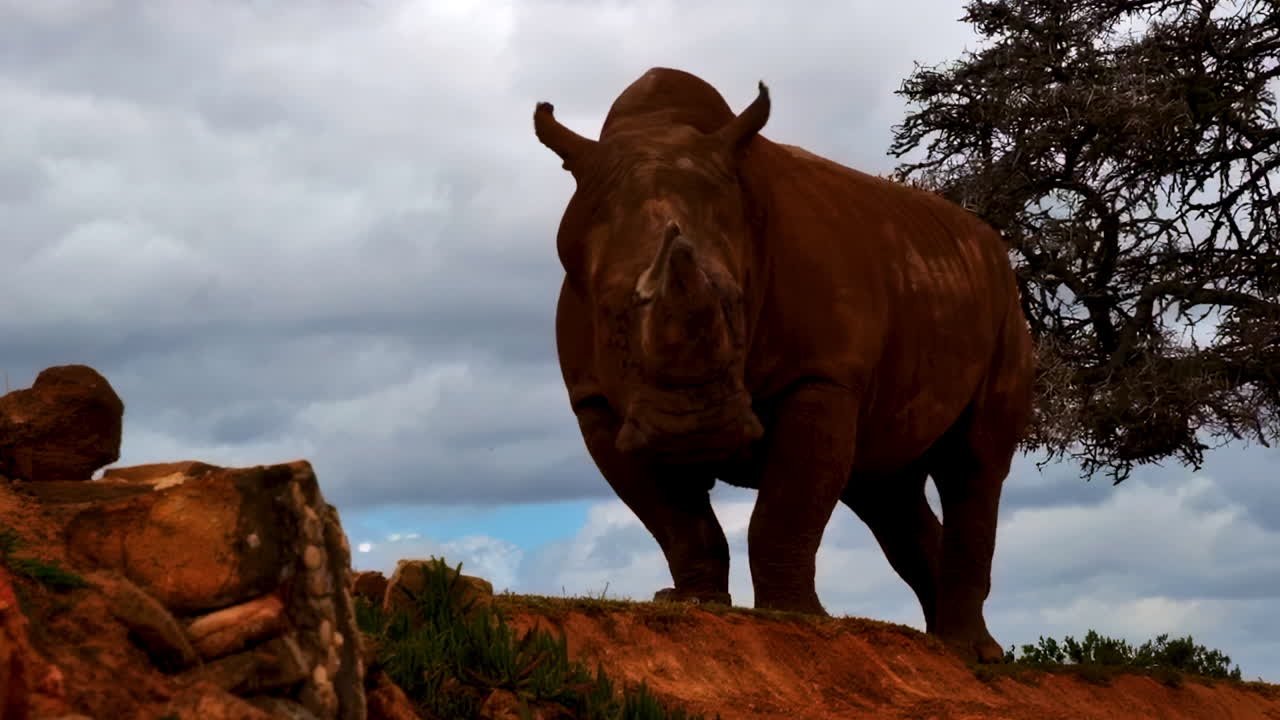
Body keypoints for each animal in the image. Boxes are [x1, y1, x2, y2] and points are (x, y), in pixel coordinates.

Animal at [533, 67, 1034, 663]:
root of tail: (988, 241)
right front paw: (695, 604)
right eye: (613, 316)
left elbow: (785, 506)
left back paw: (972, 652)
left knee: (973, 462)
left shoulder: (821, 373)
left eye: (735, 304)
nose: (693, 431)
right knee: (885, 486)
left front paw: (797, 619)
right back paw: (952, 651)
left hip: (1005, 302)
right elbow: (678, 522)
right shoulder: (594, 403)